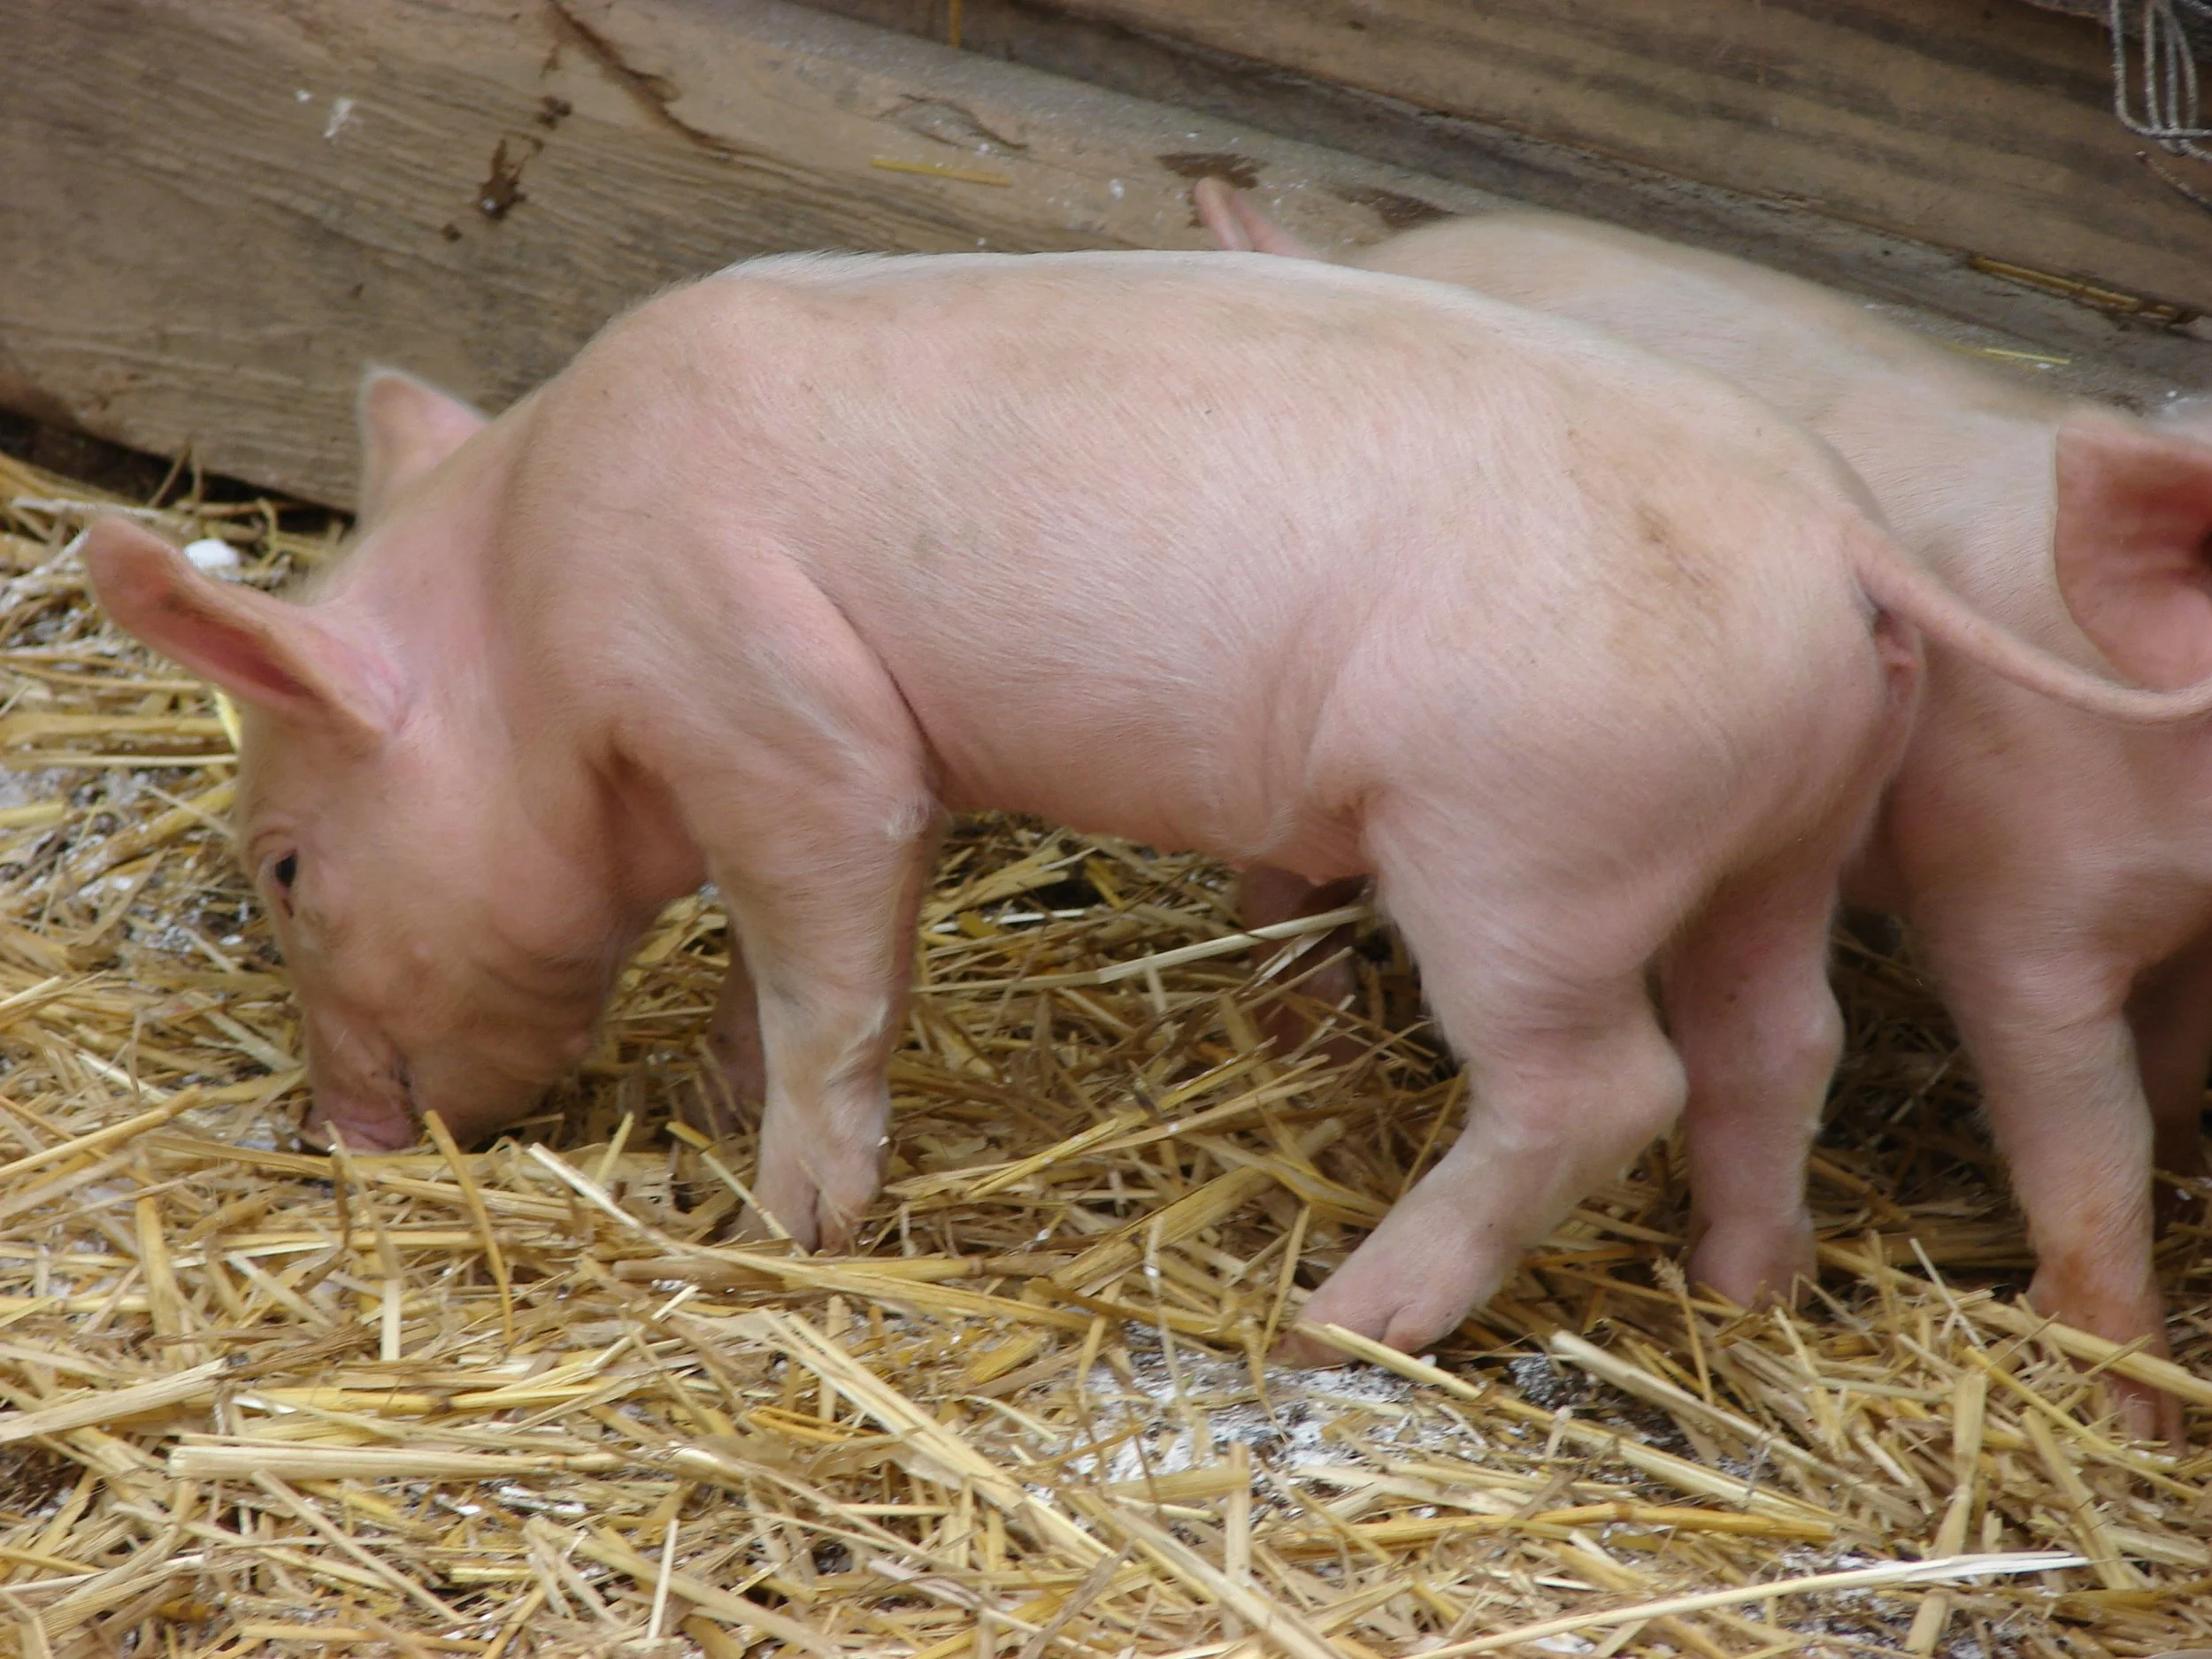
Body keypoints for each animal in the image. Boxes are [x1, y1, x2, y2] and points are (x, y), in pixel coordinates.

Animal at [82, 249, 2212, 1366]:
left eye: (285, 866)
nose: (343, 1133)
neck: (536, 613)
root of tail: (1839, 540)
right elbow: (801, 970)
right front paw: (713, 1102)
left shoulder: (784, 723)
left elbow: (832, 981)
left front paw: (780, 1227)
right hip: (1781, 832)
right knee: (1782, 1043)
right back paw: (1734, 1294)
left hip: (1524, 848)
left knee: (1604, 1084)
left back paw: (1335, 1324)